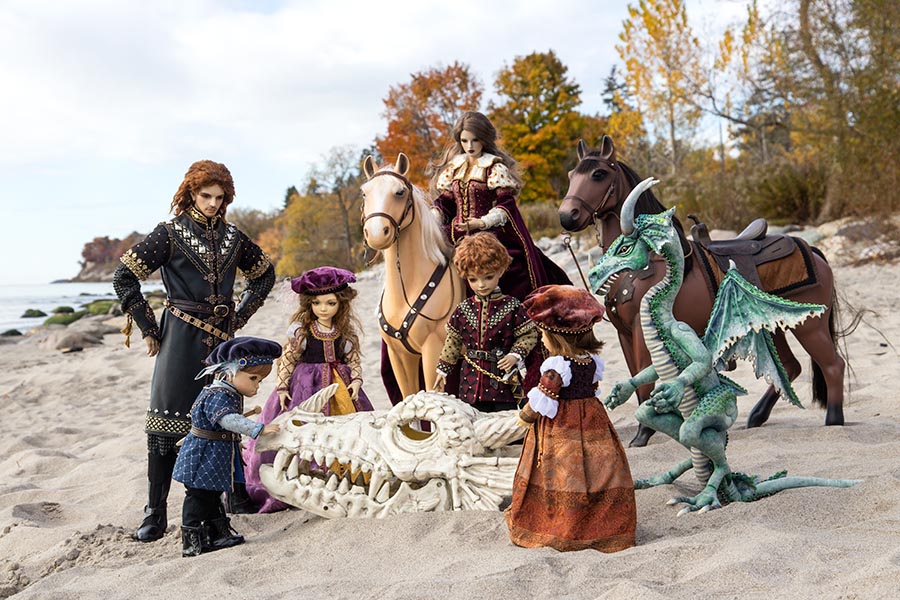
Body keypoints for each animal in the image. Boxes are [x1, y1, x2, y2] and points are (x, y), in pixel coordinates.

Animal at [358, 152, 464, 400]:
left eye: (399, 192)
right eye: (365, 192)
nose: (376, 234)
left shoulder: (434, 350)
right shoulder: (400, 356)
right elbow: (409, 397)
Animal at [560, 136, 848, 446]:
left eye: (599, 174)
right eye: (571, 175)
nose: (567, 216)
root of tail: (811, 249)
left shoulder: (639, 330)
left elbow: (647, 381)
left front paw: (643, 434)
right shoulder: (624, 333)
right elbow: (638, 377)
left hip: (811, 326)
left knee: (833, 364)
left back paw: (834, 420)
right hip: (772, 327)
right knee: (791, 366)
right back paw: (757, 416)